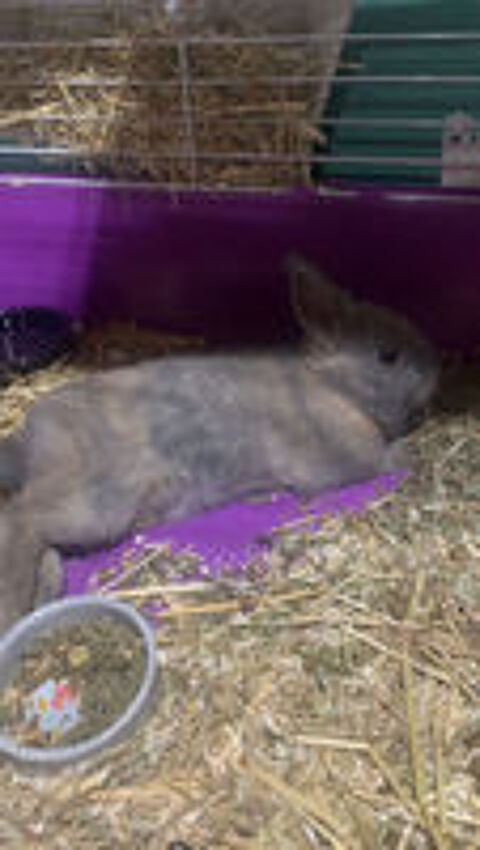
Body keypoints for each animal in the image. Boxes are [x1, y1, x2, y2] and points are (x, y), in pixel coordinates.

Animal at [0, 255, 438, 634]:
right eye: (388, 356)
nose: (436, 372)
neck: (334, 387)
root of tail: (28, 442)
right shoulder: (344, 458)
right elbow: (384, 461)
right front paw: (413, 450)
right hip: (96, 504)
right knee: (21, 517)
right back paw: (18, 604)